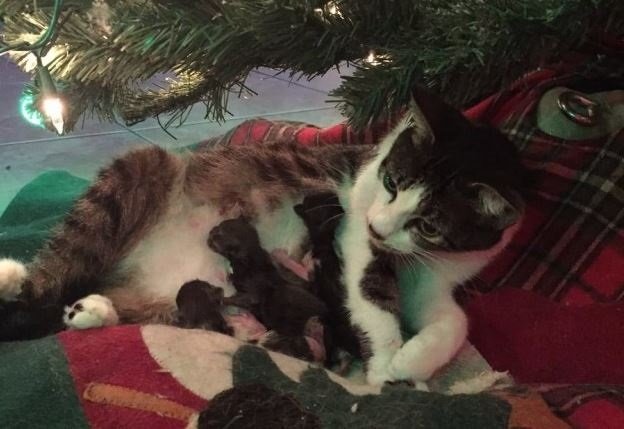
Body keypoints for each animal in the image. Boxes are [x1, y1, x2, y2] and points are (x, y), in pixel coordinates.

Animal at [0, 88, 528, 386]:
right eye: (392, 182)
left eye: (430, 225)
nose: (381, 227)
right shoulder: (354, 226)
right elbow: (372, 292)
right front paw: (383, 364)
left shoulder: (439, 274)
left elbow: (455, 321)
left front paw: (413, 362)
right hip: (134, 173)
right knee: (56, 271)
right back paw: (16, 279)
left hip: (171, 298)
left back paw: (91, 311)